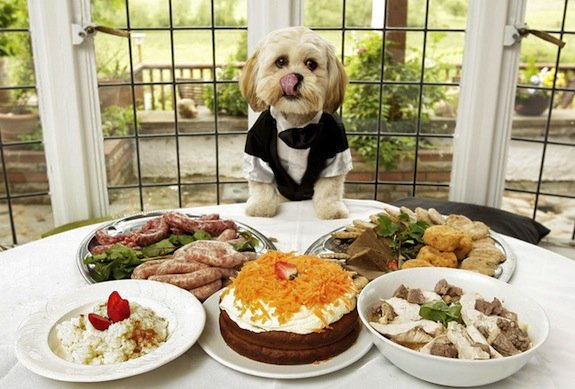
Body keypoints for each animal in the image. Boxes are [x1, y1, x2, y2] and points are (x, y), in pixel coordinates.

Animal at [238, 26, 352, 220]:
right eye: (280, 61)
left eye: (311, 64)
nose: (294, 77)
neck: (297, 128)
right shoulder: (257, 146)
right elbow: (262, 185)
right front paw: (261, 206)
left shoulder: (336, 147)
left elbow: (330, 186)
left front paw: (331, 208)